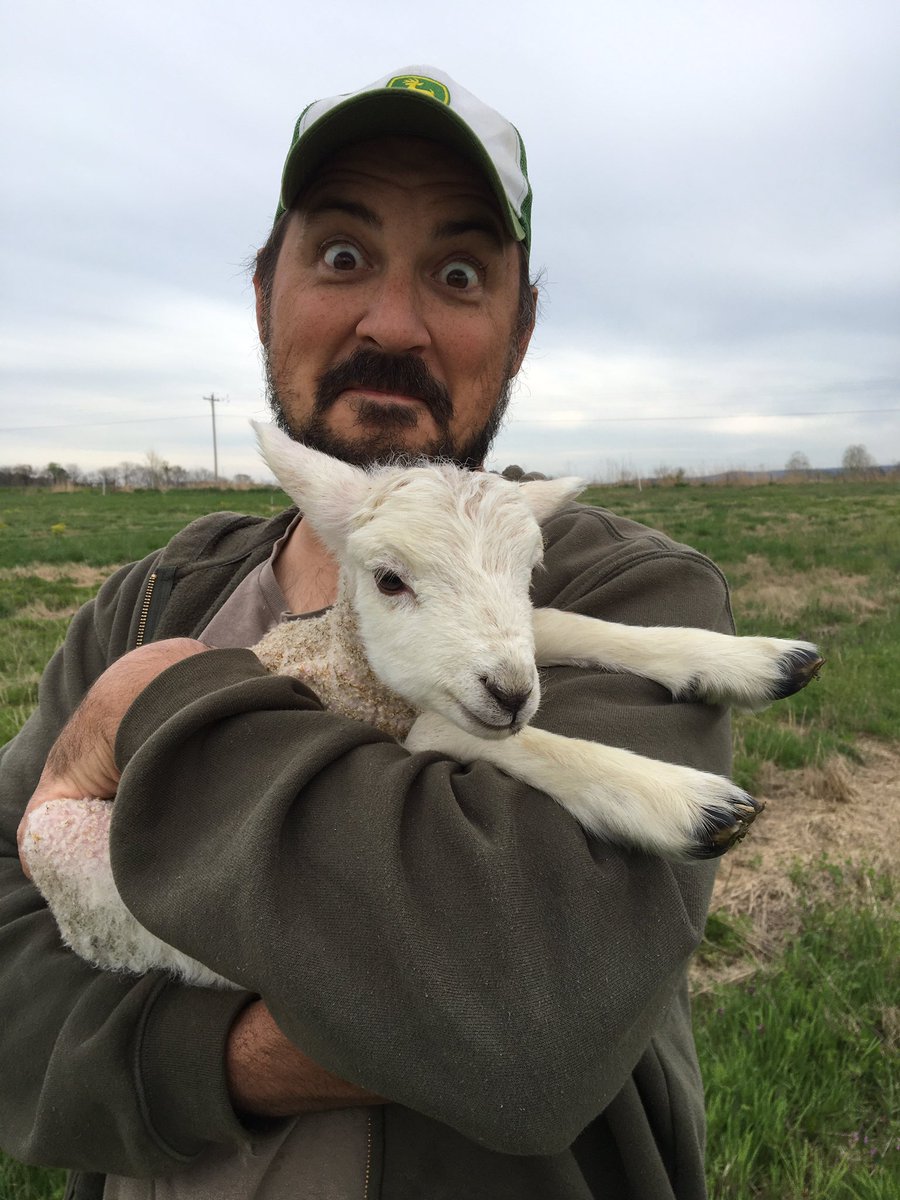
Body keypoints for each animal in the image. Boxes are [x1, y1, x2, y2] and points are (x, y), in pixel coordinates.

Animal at [21, 422, 823, 988]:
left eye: (528, 570)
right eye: (389, 579)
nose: (511, 693)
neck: (348, 667)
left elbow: (563, 624)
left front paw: (750, 659)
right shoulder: (391, 721)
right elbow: (459, 727)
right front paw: (681, 800)